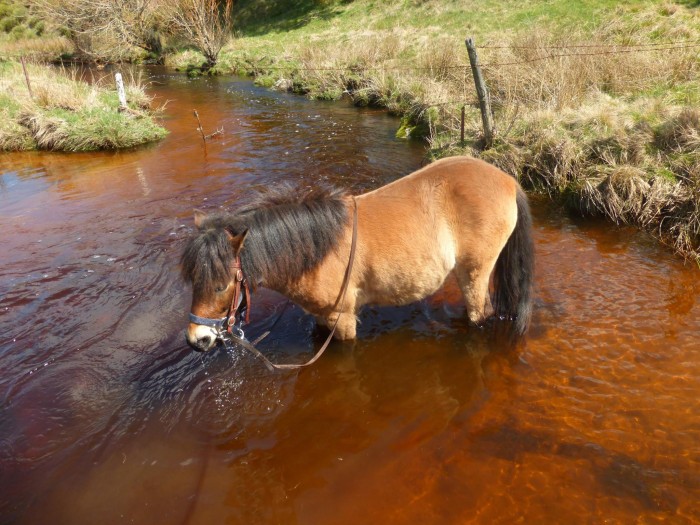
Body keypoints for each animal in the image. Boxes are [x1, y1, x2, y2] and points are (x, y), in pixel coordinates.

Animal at [182, 156, 536, 352]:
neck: (317, 249)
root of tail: (508, 180)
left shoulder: (342, 320)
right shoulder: (320, 317)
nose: (196, 340)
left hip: (475, 273)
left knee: (480, 314)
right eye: (192, 282)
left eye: (220, 285)